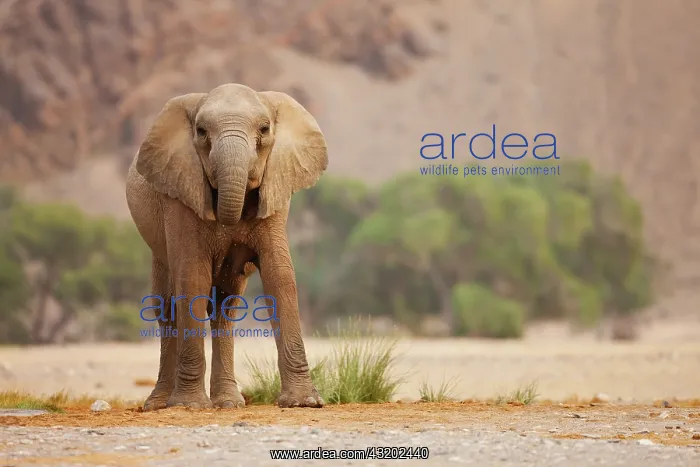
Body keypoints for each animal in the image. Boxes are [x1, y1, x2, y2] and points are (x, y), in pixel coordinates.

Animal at [125, 83, 328, 409]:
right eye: (201, 132)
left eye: (264, 129)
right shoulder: (180, 194)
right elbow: (192, 276)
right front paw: (190, 406)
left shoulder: (276, 189)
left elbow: (279, 275)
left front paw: (304, 403)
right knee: (167, 306)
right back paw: (159, 404)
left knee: (225, 306)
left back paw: (228, 403)